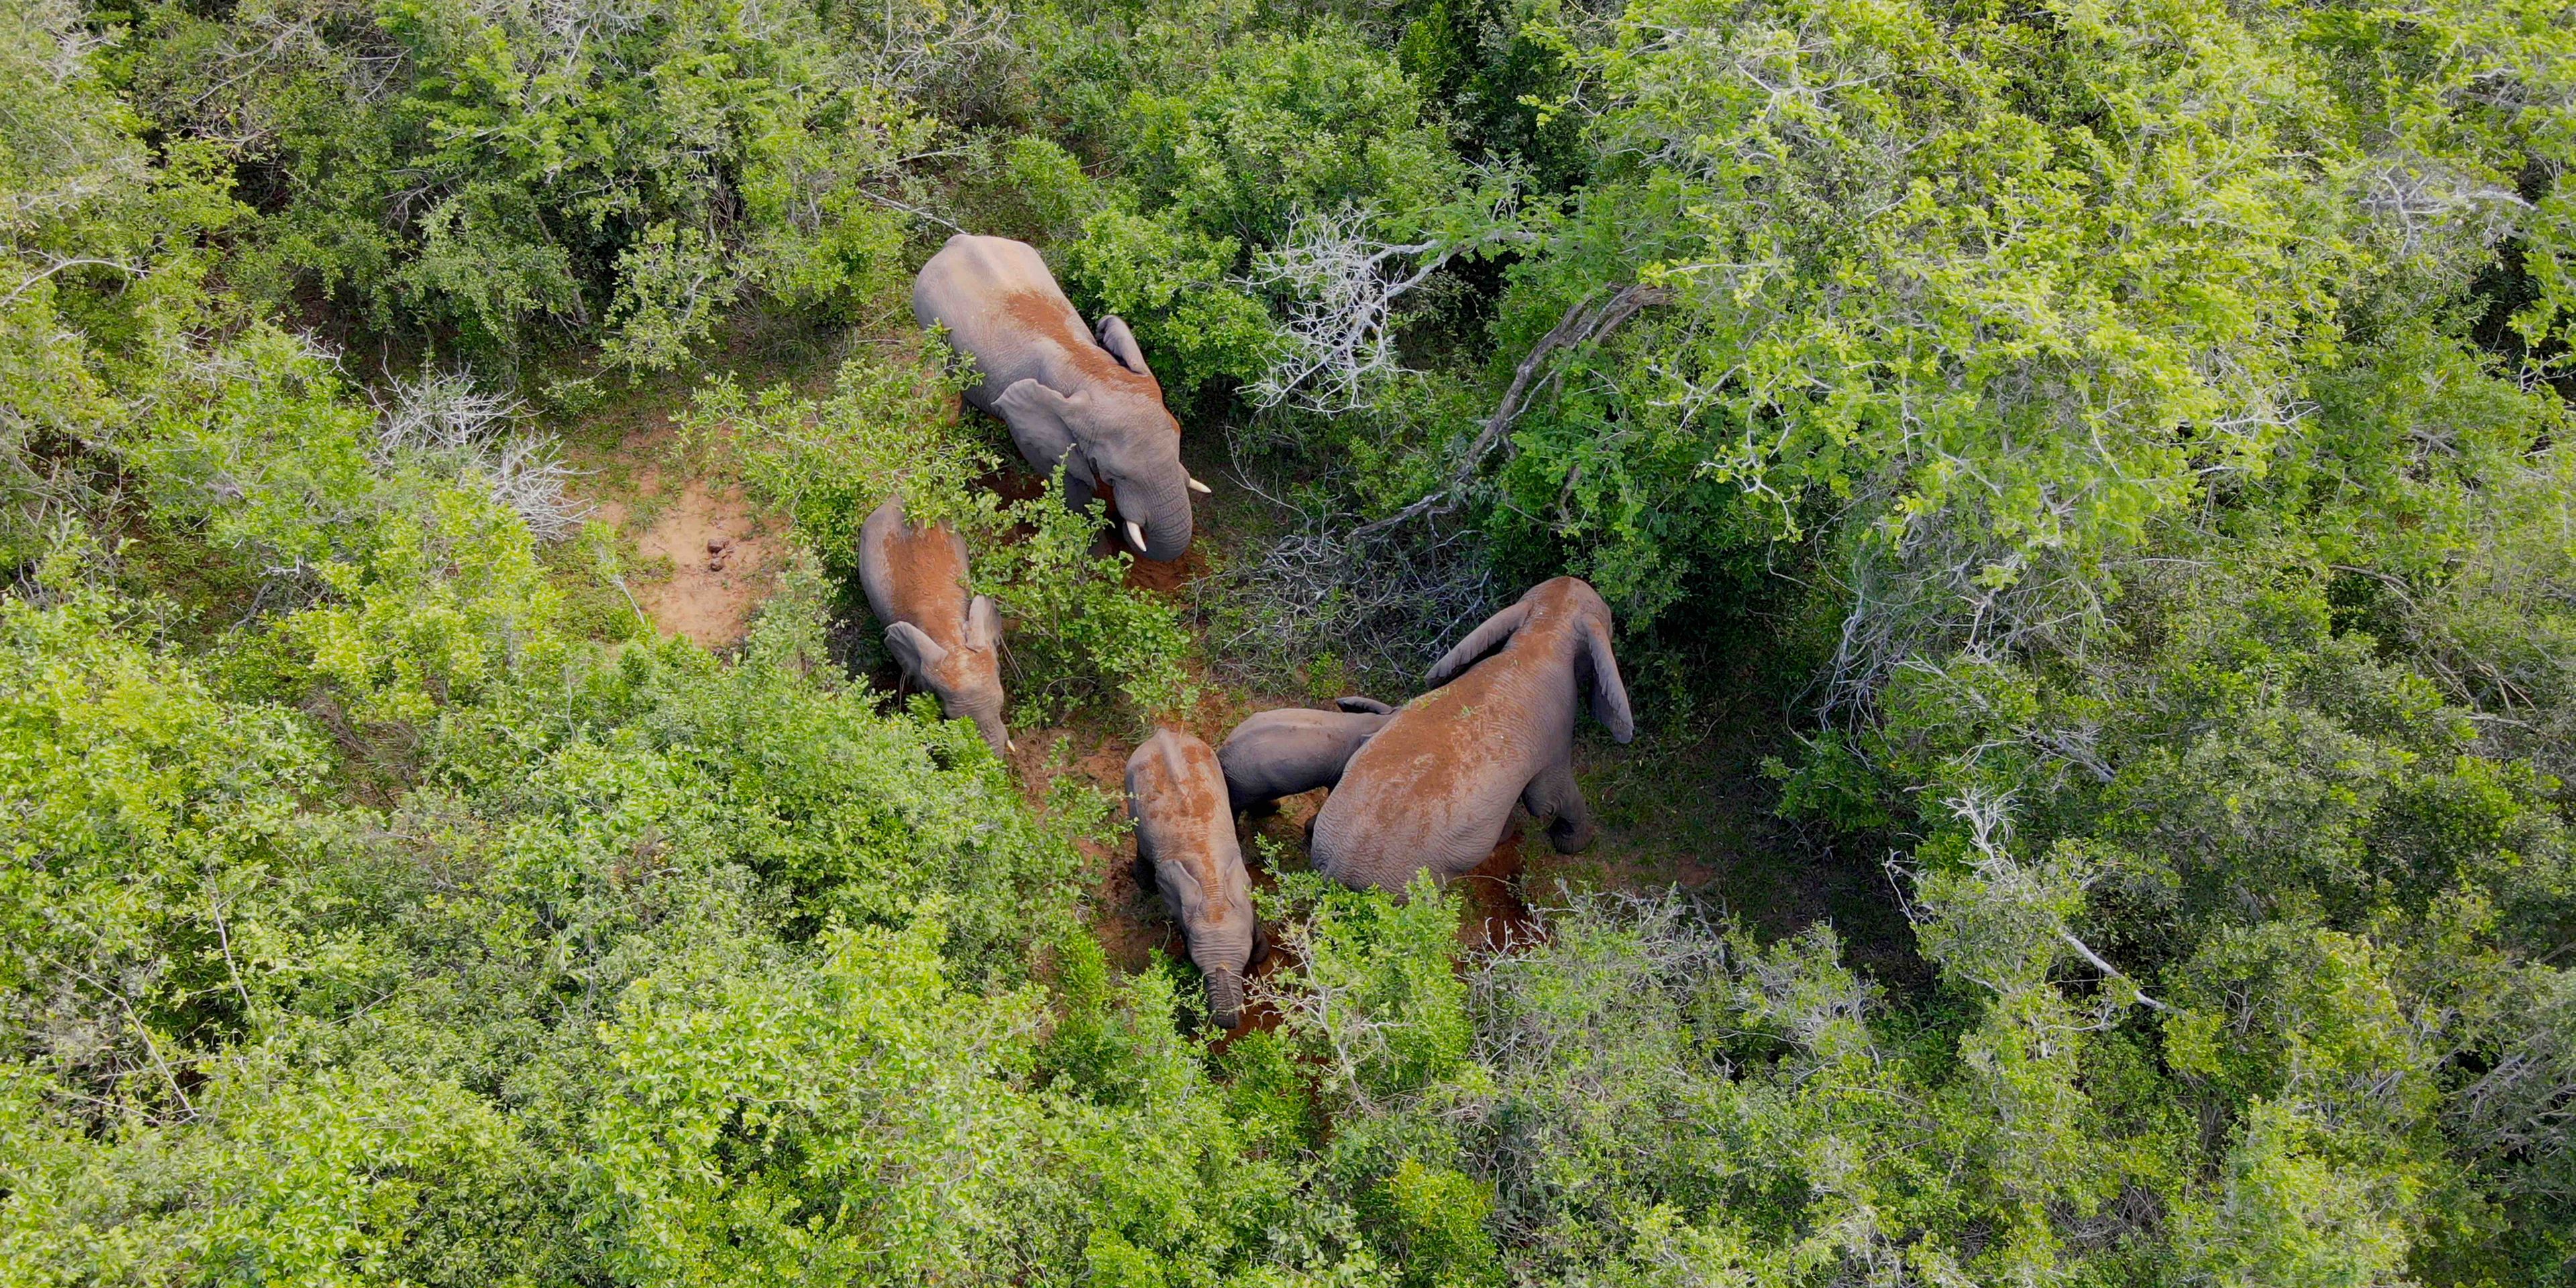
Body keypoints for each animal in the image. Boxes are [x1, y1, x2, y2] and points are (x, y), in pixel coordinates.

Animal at [911, 233, 1206, 562]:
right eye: (1116, 475)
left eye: (1178, 444)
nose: (1123, 525)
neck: (1088, 368)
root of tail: (958, 240)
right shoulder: (1036, 431)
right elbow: (1070, 486)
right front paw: (1095, 557)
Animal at [1308, 577, 1634, 894]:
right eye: (1609, 623)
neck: (1542, 634)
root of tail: (1338, 870)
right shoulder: (1555, 735)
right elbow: (1549, 797)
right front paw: (1574, 843)